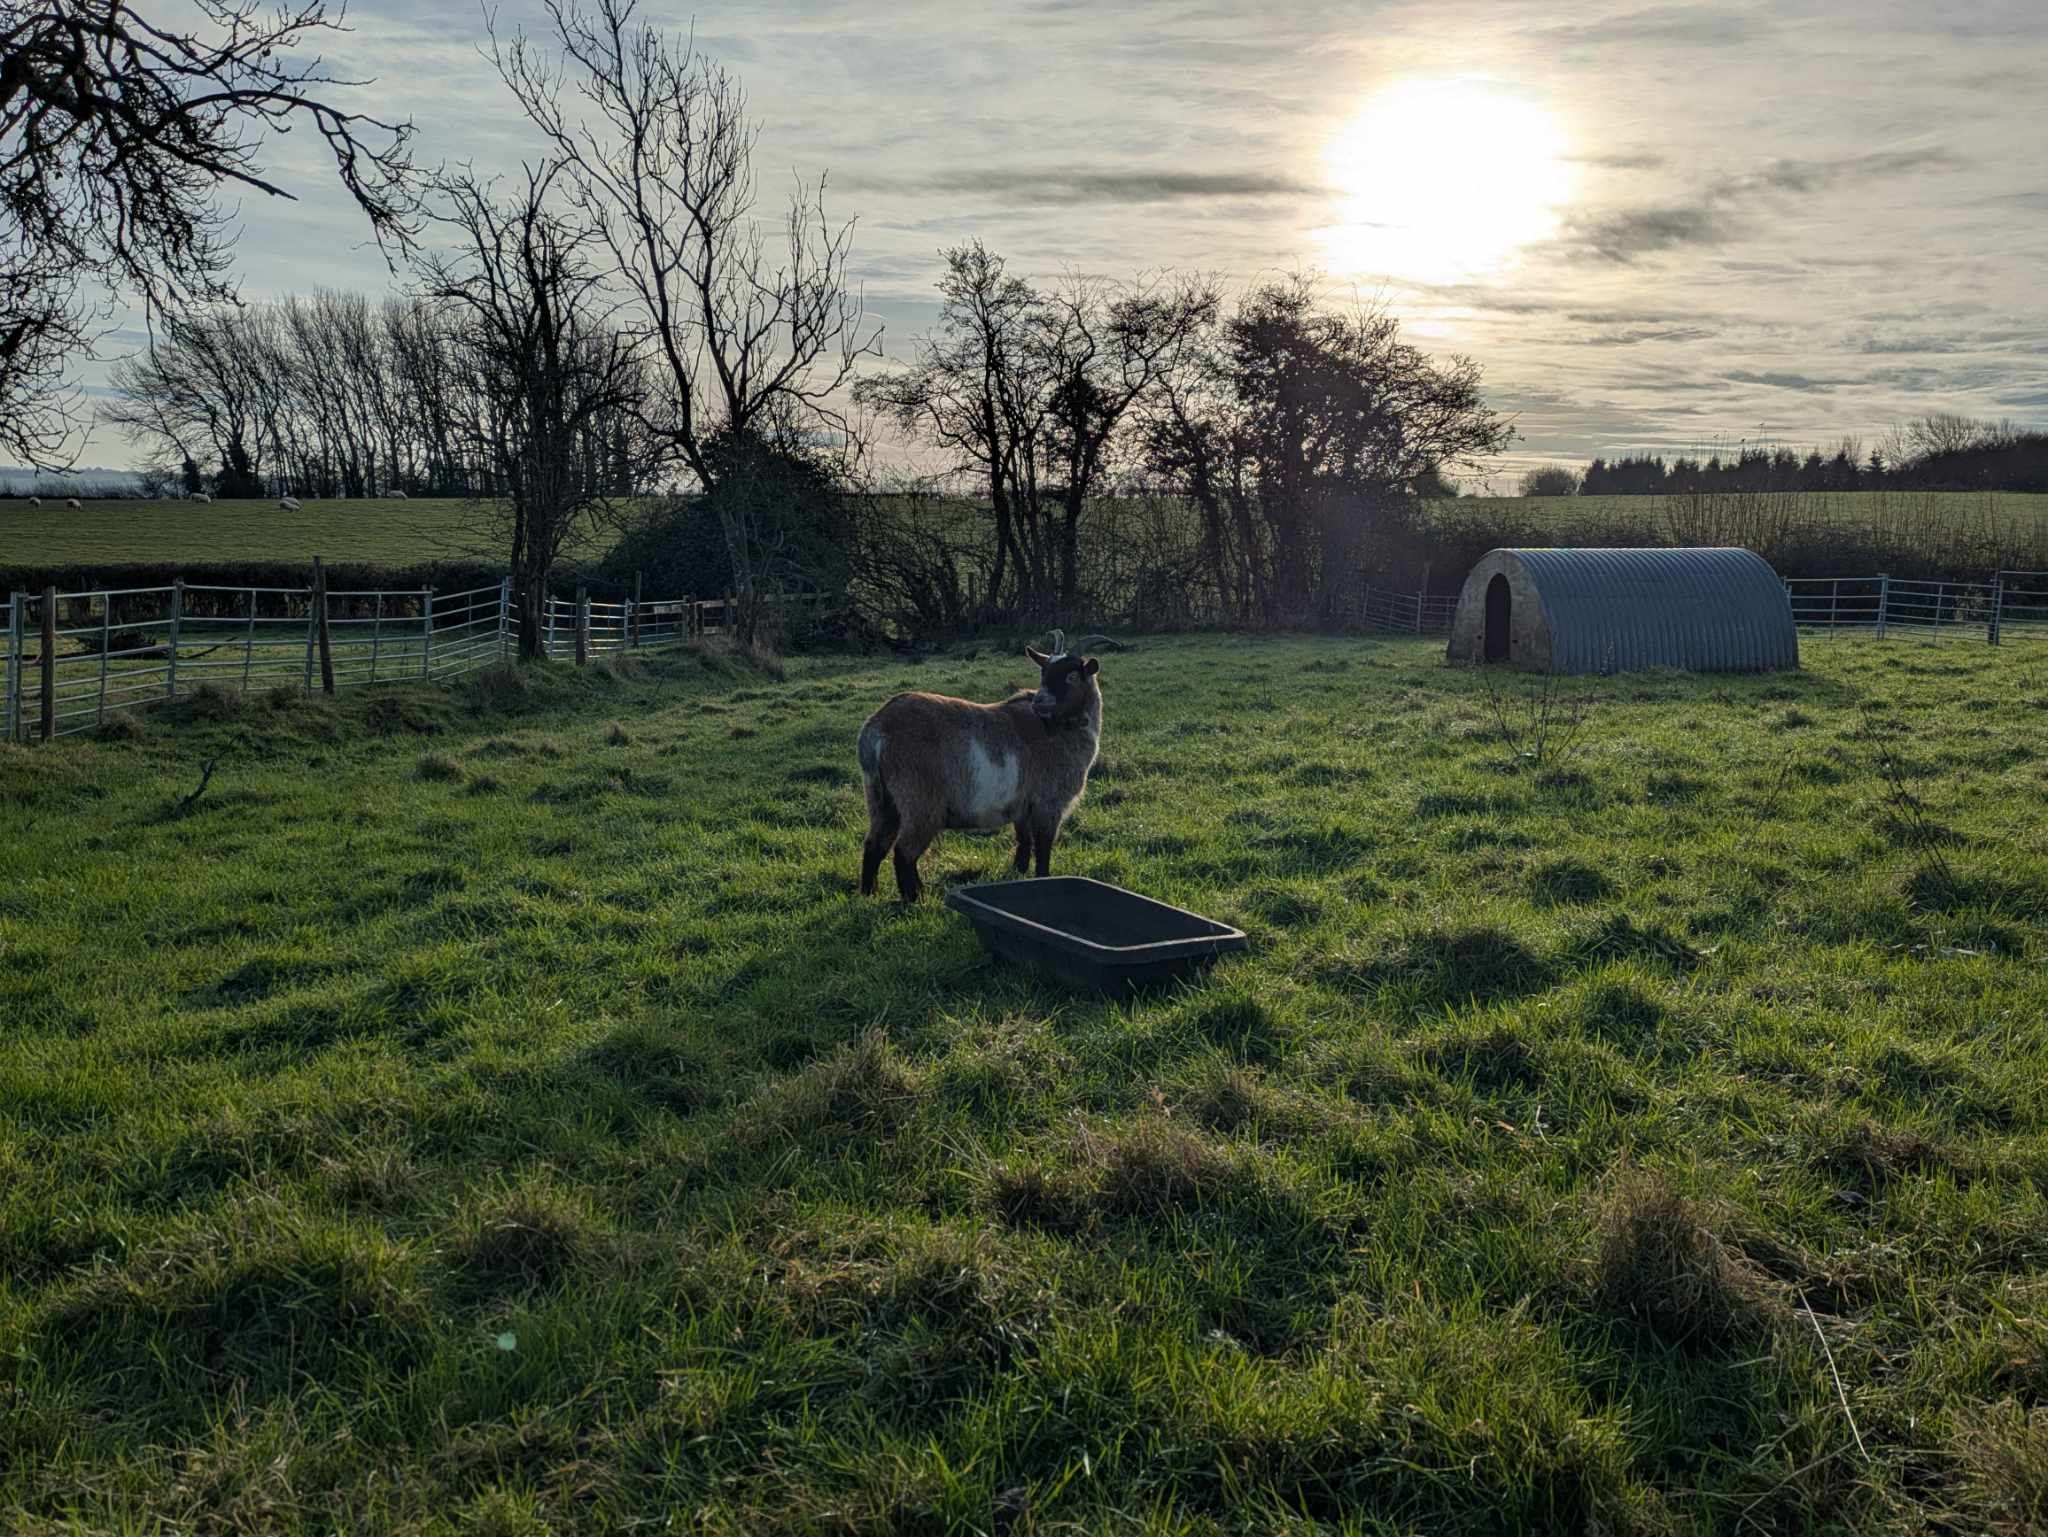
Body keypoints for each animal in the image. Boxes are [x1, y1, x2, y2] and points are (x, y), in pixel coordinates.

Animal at [864, 631, 1122, 909]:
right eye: (1044, 673)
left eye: (1071, 676)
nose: (1040, 702)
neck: (1056, 728)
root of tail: (877, 731)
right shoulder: (1048, 804)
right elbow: (1043, 846)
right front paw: (1043, 878)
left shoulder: (1022, 806)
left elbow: (1023, 840)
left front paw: (1019, 873)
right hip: (920, 802)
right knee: (904, 852)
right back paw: (914, 900)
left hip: (882, 799)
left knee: (874, 845)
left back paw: (869, 893)